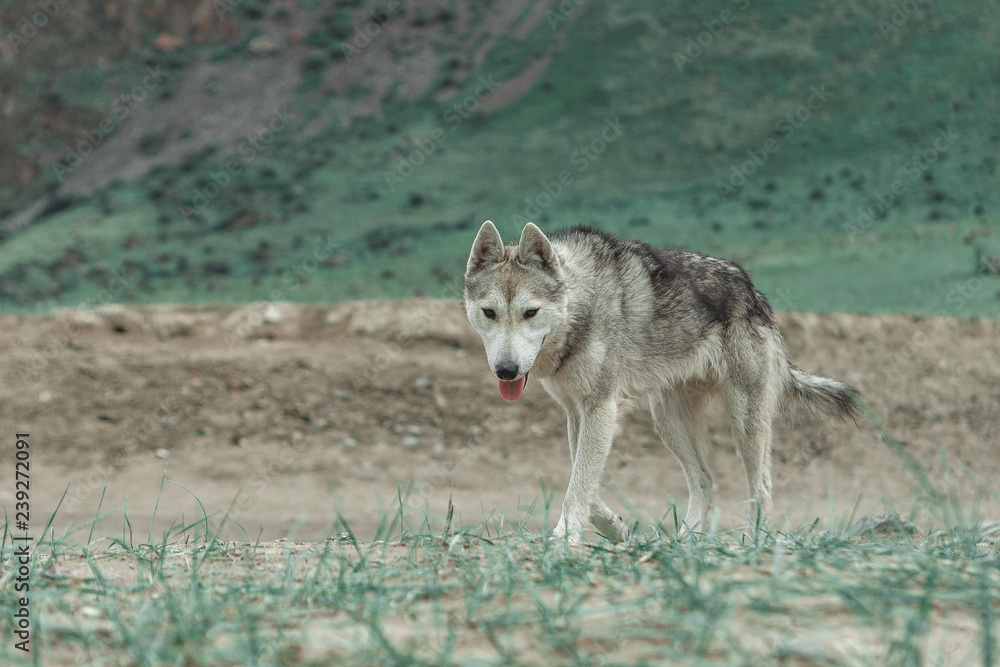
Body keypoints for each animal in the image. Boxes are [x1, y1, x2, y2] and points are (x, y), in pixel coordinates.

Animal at [463, 221, 862, 544]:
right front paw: (614, 528)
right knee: (705, 479)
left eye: (530, 312)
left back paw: (753, 544)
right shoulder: (578, 414)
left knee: (760, 487)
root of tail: (753, 290)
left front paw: (564, 538)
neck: (581, 304)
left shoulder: (601, 410)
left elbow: (577, 485)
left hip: (744, 422)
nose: (506, 370)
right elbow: (583, 480)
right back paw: (684, 542)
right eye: (489, 313)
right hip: (667, 421)